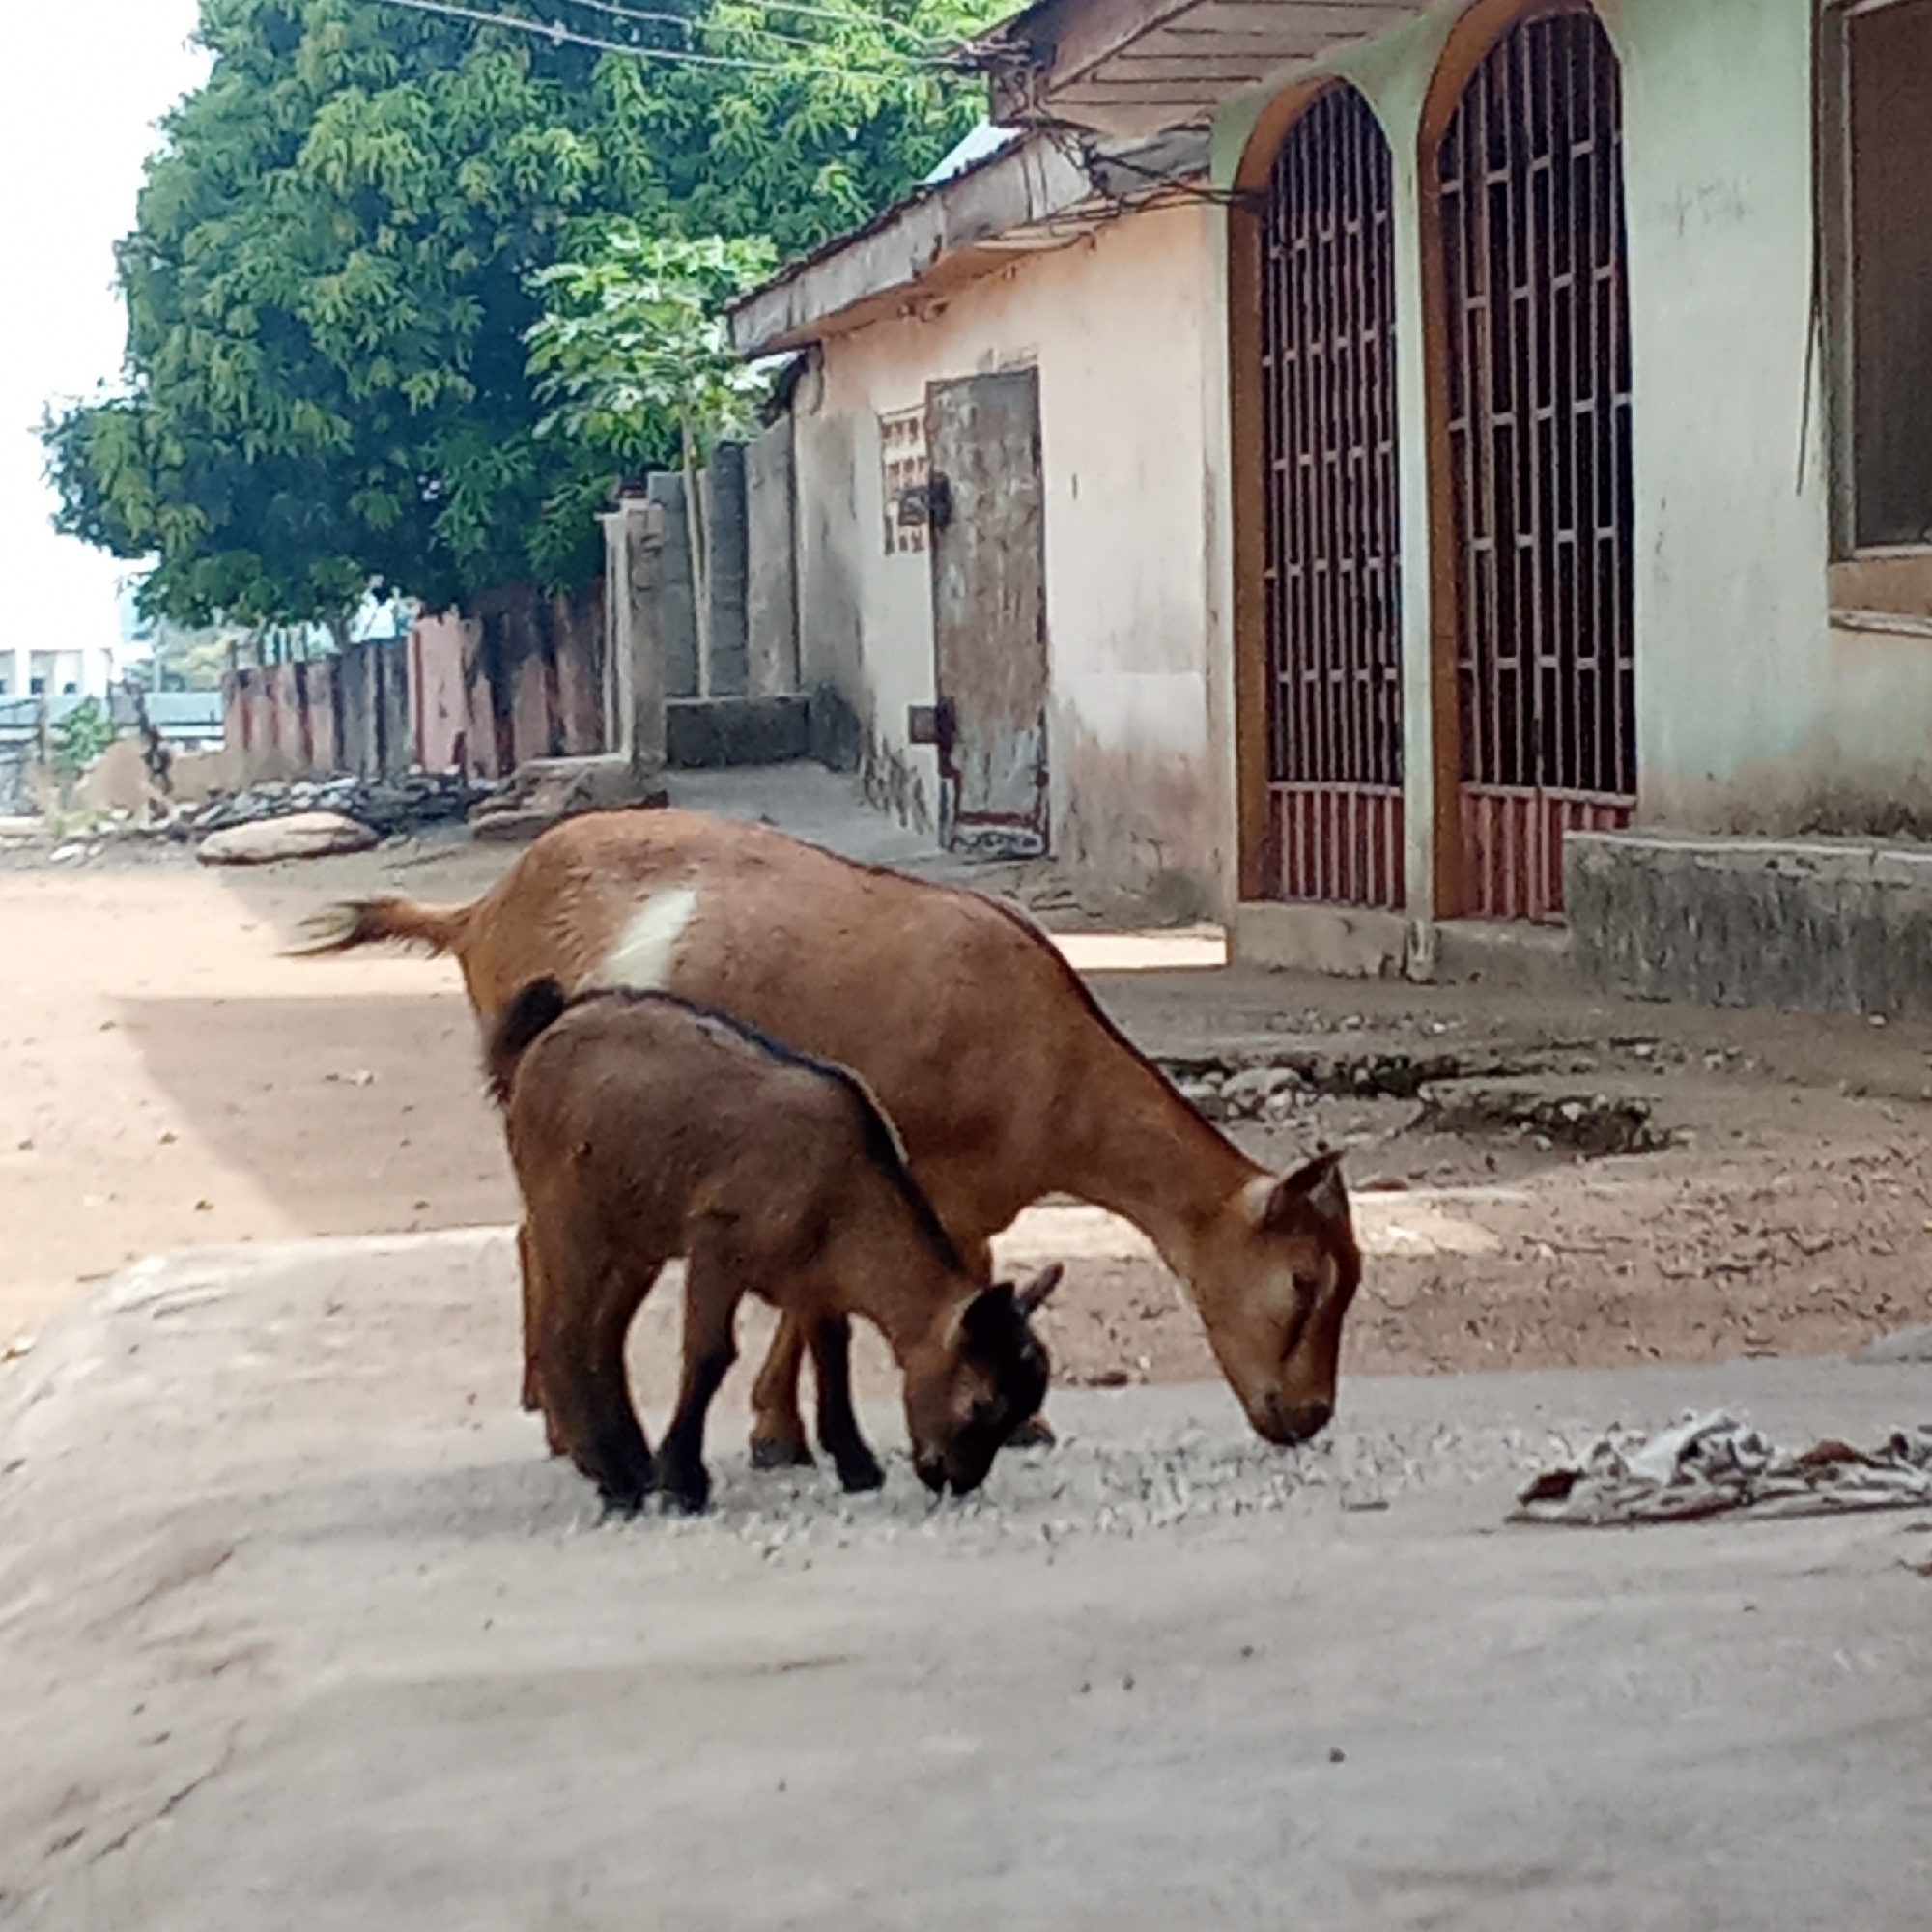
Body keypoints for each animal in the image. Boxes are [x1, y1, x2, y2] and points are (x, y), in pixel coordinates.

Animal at [486, 976, 1061, 1513]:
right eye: (982, 1404)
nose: (954, 1479)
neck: (846, 1184)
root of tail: (545, 1029)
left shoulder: (815, 1274)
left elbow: (831, 1353)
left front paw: (857, 1465)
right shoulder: (717, 1240)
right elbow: (710, 1354)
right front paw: (683, 1482)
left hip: (634, 1233)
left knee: (604, 1336)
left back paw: (630, 1464)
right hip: (567, 1211)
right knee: (564, 1333)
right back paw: (616, 1479)